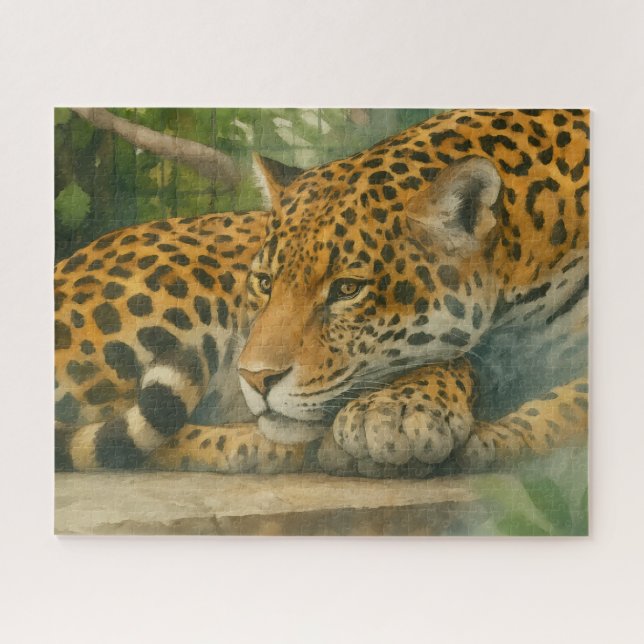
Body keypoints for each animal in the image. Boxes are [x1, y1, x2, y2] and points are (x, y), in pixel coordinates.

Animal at [55, 108, 589, 477]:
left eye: (347, 289)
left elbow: (573, 399)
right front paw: (396, 414)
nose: (254, 378)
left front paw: (469, 430)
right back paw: (263, 447)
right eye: (264, 283)